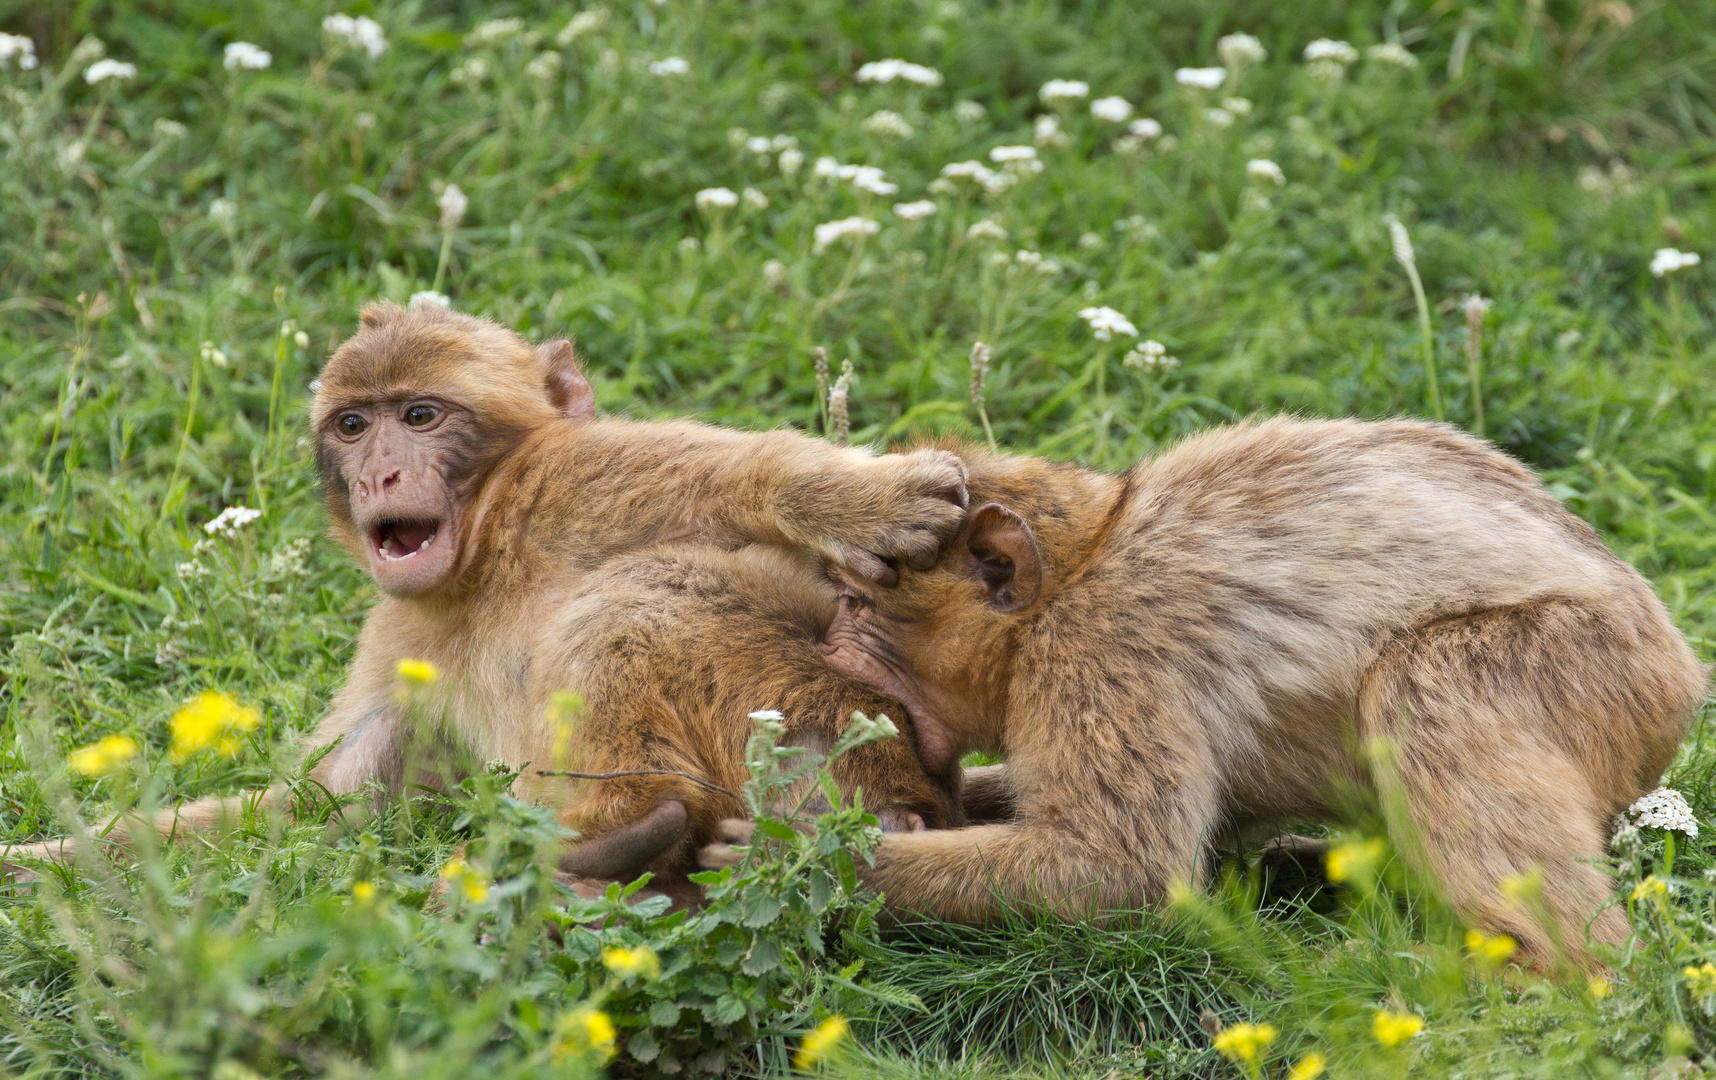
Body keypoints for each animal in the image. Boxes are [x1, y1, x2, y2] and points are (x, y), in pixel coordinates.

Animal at [10, 298, 967, 885]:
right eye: (353, 425)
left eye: (420, 416)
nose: (380, 473)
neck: (482, 560)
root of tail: (923, 798)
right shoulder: (401, 639)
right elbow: (325, 805)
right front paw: (36, 861)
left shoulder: (573, 479)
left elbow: (744, 481)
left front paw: (863, 500)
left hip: (821, 726)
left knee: (624, 605)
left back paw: (618, 832)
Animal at [703, 417, 1709, 961]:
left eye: (855, 601)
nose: (825, 643)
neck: (1078, 572)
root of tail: (1678, 662)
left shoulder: (1102, 657)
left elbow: (1116, 868)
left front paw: (797, 864)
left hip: (1593, 666)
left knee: (1425, 682)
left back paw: (1544, 973)